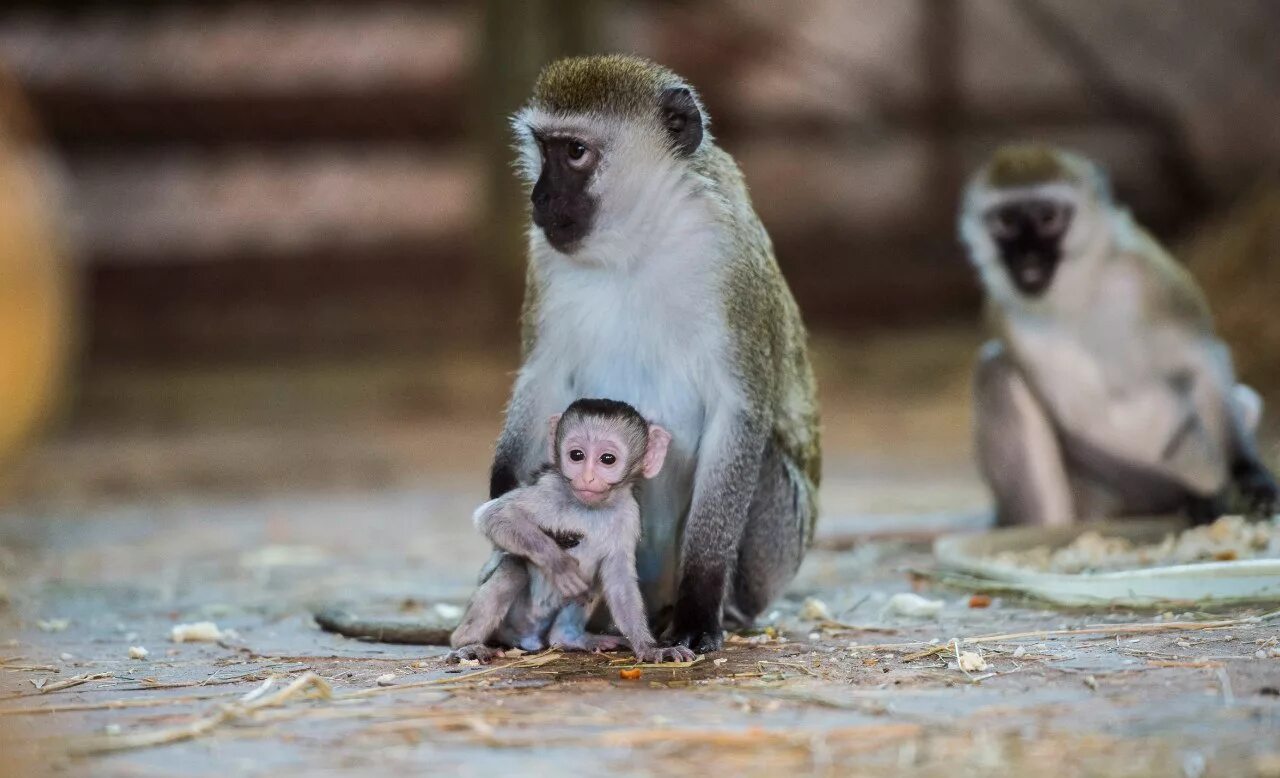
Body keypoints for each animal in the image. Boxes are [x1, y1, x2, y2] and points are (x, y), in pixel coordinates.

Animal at [445, 401, 696, 660]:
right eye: (577, 455)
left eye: (607, 459)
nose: (587, 477)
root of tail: (530, 639)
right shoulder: (550, 489)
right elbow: (495, 516)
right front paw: (560, 566)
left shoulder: (629, 513)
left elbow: (619, 580)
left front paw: (649, 647)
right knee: (513, 567)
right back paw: (468, 642)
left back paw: (568, 637)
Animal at [962, 142, 1274, 524]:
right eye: (1005, 222)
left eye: (1047, 218)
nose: (1027, 258)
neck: (1078, 292)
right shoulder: (1001, 311)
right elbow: (1073, 424)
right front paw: (1196, 499)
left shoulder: (1151, 278)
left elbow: (1203, 361)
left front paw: (1247, 474)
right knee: (996, 370)